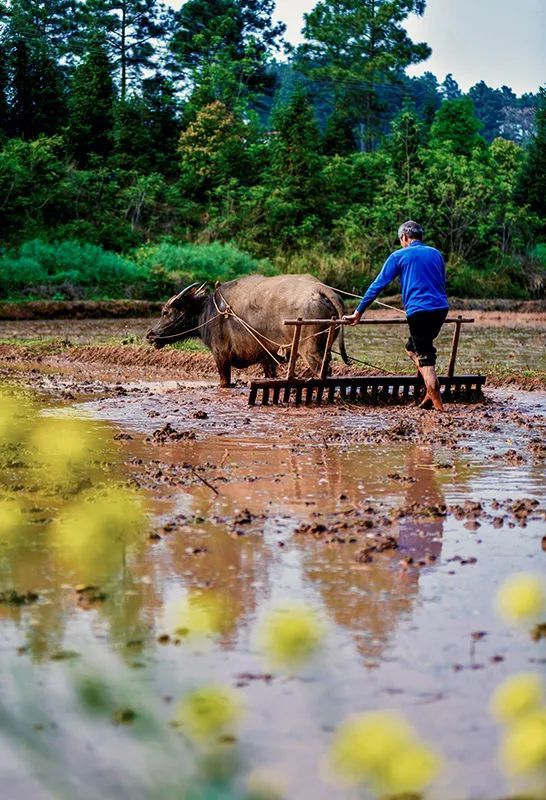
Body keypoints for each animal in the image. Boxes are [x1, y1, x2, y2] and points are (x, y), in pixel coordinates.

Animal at [146, 276, 348, 388]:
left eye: (165, 312)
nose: (150, 335)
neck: (209, 311)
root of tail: (322, 290)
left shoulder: (221, 356)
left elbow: (224, 382)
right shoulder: (268, 358)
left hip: (310, 350)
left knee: (322, 370)